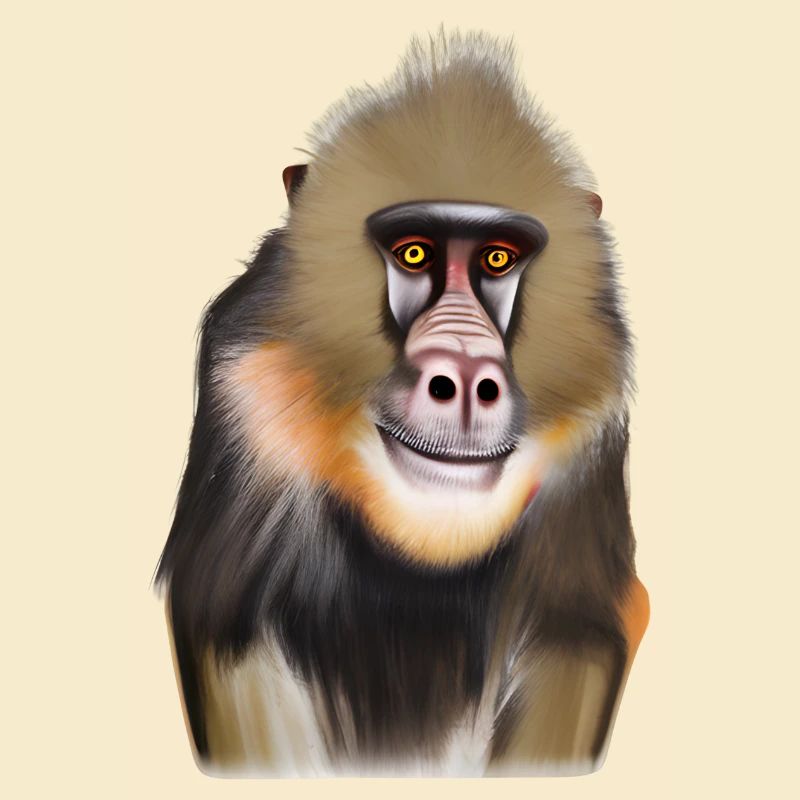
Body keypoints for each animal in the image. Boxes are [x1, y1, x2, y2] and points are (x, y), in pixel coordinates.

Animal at [155, 29, 649, 777]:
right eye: (414, 253)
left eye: (498, 259)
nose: (466, 378)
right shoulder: (247, 402)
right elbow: (232, 633)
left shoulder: (587, 446)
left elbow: (574, 639)